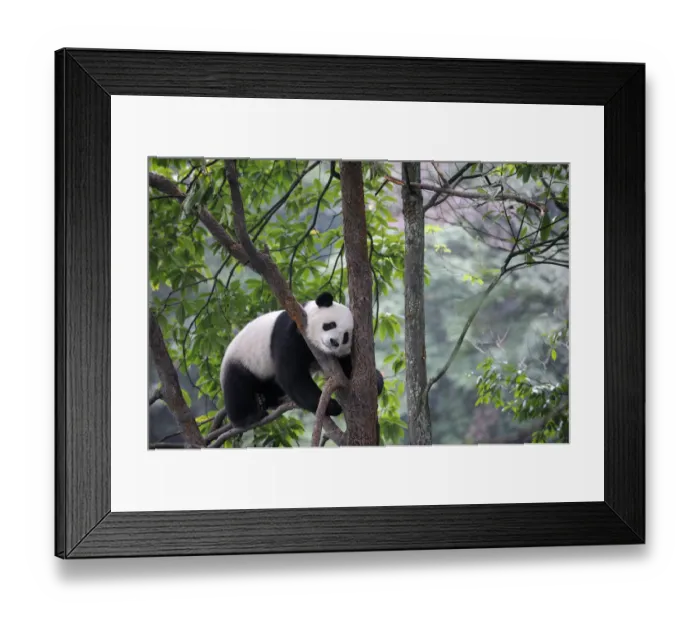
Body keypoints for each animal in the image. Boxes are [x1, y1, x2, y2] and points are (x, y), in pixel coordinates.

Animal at [220, 292, 384, 429]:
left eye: (345, 336)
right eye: (330, 324)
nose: (334, 342)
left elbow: (347, 368)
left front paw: (376, 381)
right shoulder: (290, 333)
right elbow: (292, 376)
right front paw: (332, 406)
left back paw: (269, 400)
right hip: (242, 359)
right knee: (237, 386)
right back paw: (248, 417)